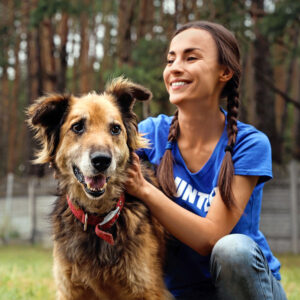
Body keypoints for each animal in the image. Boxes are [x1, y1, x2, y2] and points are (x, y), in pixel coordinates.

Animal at [28, 78, 173, 300]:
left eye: (115, 129)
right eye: (78, 127)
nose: (102, 160)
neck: (97, 219)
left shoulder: (148, 289)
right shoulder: (69, 289)